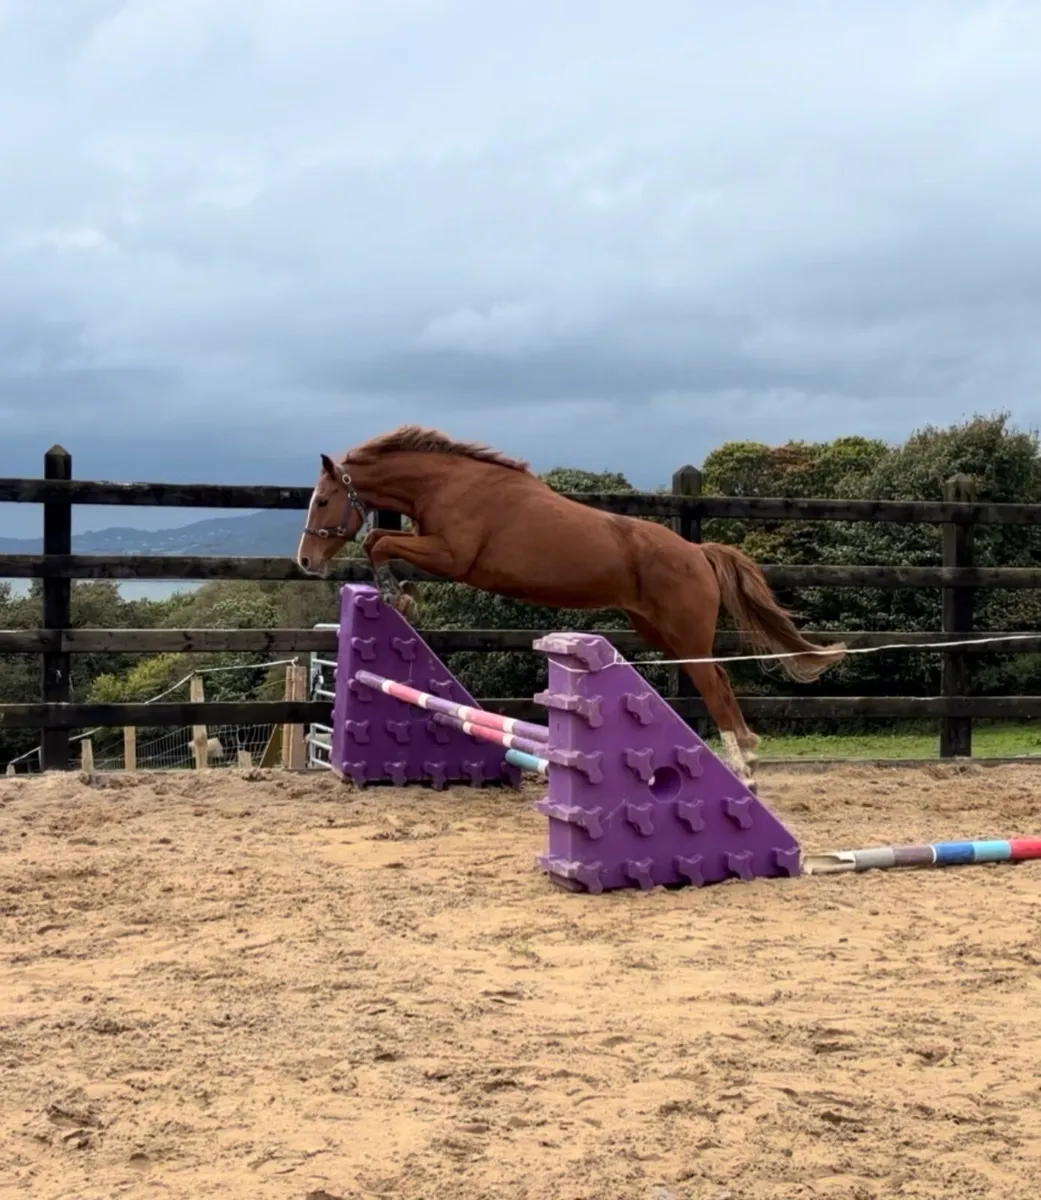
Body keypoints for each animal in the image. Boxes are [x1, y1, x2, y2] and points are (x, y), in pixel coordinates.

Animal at [295, 425, 845, 787]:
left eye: (321, 501)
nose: (305, 561)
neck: (447, 483)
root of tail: (697, 552)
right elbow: (381, 541)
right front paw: (402, 594)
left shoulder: (454, 557)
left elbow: (379, 543)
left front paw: (400, 596)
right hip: (656, 630)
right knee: (718, 680)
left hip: (684, 634)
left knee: (716, 685)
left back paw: (744, 770)